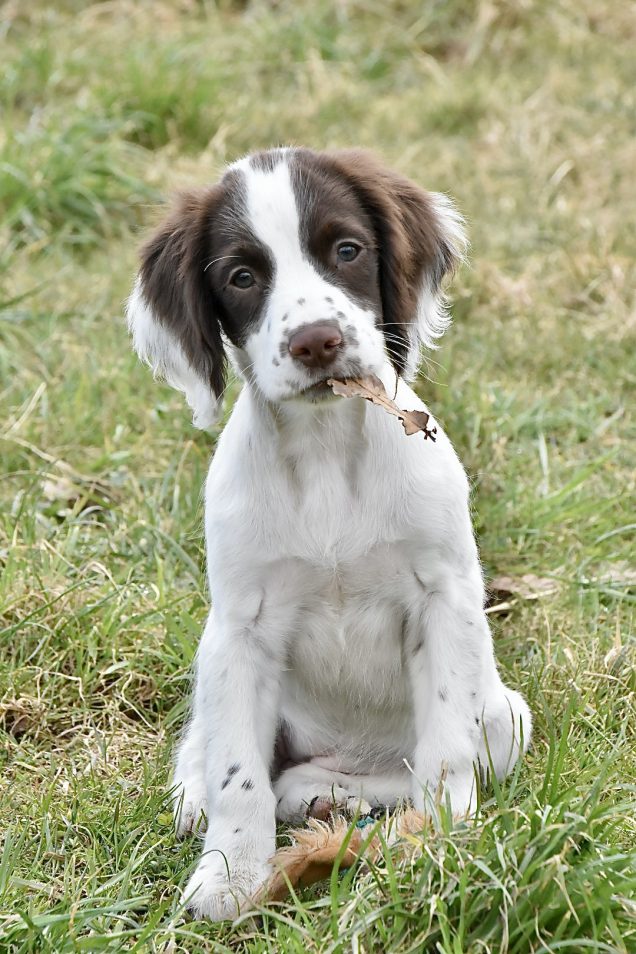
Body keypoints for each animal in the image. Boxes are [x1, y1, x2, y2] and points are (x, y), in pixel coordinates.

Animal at [125, 147, 532, 916]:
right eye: (242, 277)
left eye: (347, 250)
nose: (317, 341)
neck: (323, 455)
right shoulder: (240, 629)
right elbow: (238, 773)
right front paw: (230, 873)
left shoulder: (446, 600)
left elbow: (444, 751)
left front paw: (441, 839)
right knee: (216, 748)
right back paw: (215, 793)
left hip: (505, 717)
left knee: (406, 768)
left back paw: (326, 797)